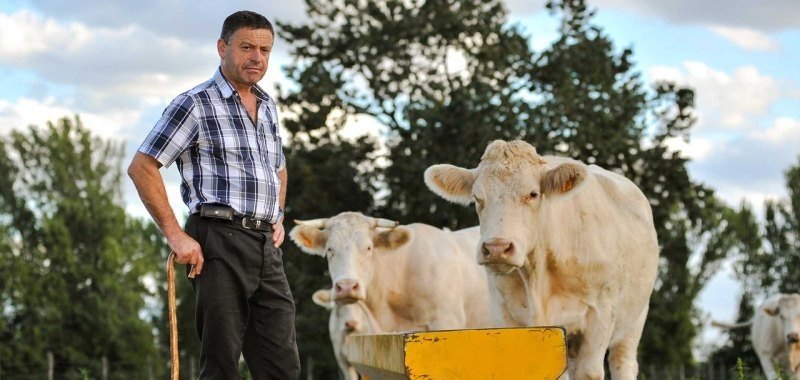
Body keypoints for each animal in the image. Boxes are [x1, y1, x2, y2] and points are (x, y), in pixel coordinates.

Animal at [424, 140, 656, 380]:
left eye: (533, 194)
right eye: (477, 197)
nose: (497, 248)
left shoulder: (601, 313)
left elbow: (589, 372)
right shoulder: (504, 313)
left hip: (635, 320)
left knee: (622, 360)